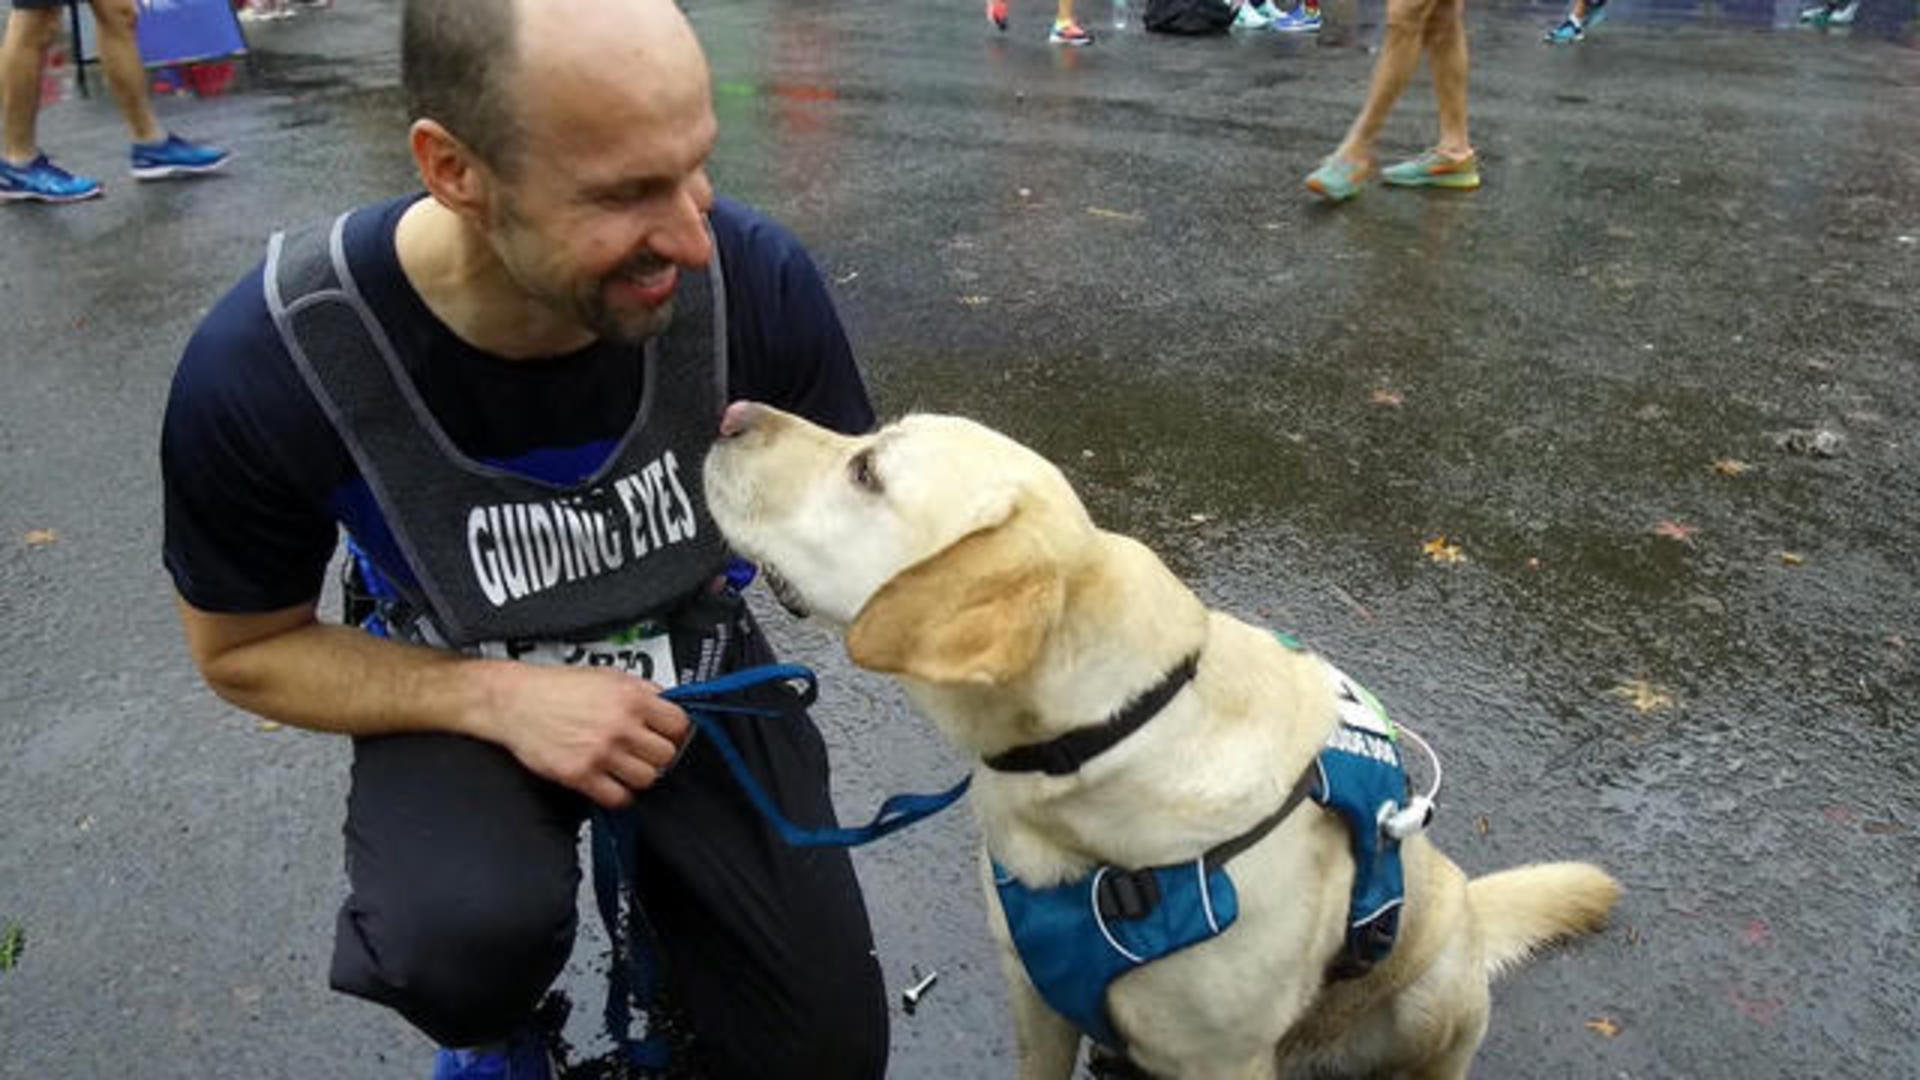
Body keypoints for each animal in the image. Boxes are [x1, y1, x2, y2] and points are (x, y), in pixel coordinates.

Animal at [706, 399, 1620, 1068]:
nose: (730, 411)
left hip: (1432, 1000)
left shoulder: (1223, 1060)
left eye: (866, 470)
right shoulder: (1036, 1001)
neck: (1107, 736)